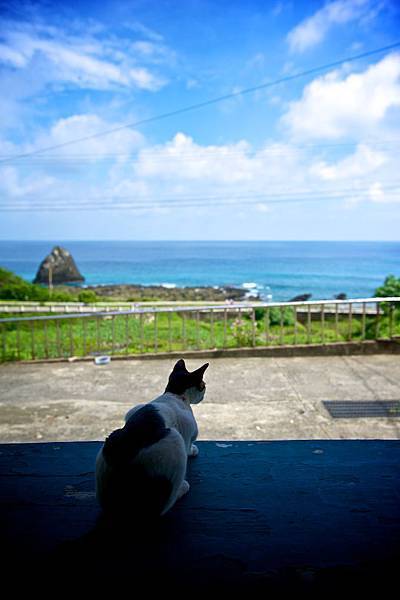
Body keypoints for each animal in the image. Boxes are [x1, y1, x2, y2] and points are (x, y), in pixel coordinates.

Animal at [96, 358, 209, 516]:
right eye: (203, 385)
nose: (204, 393)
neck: (174, 394)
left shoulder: (133, 411)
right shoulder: (187, 429)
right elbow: (189, 447)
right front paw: (193, 450)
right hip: (175, 438)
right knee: (164, 507)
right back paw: (182, 488)